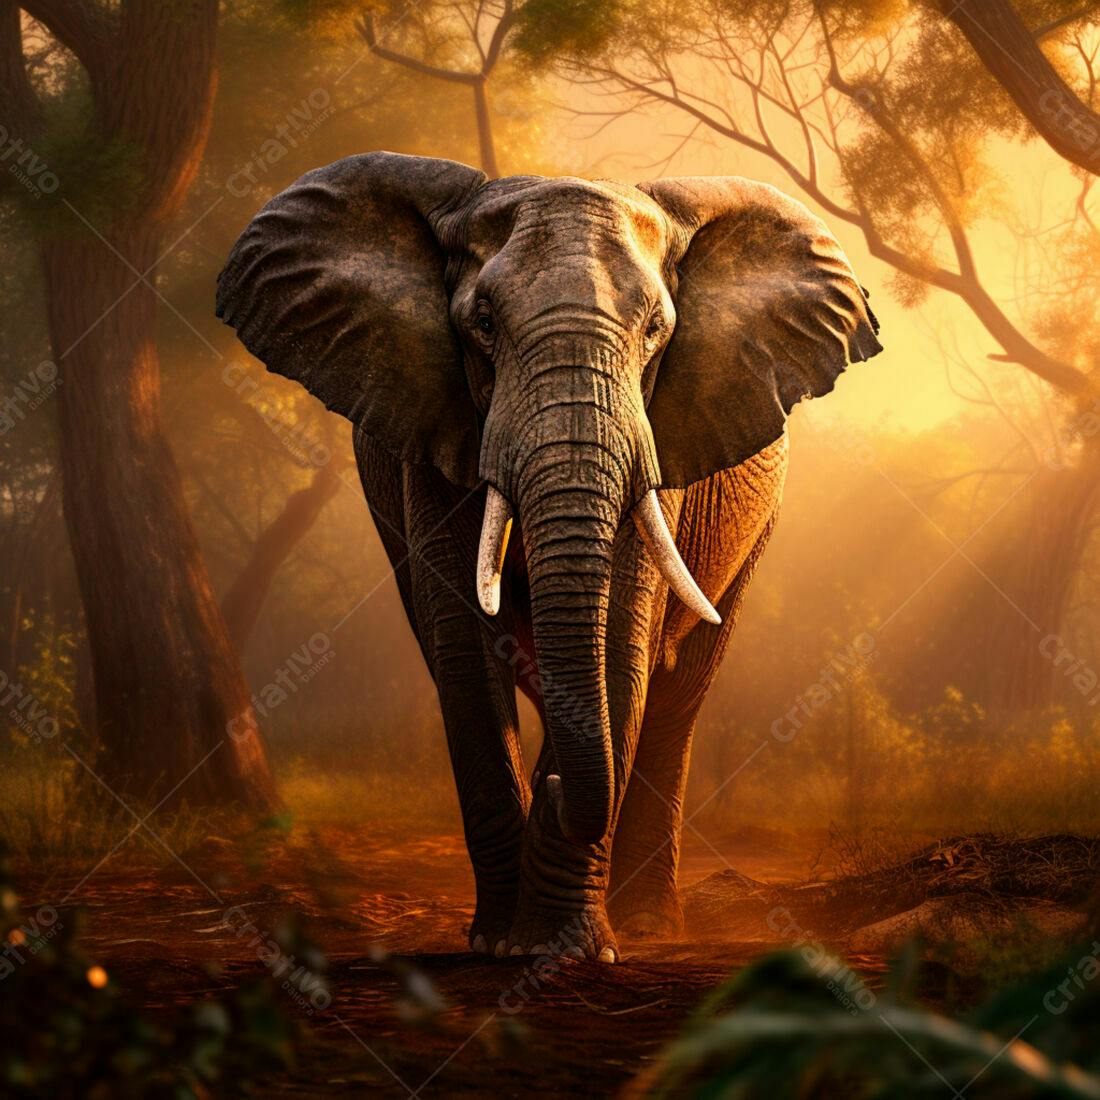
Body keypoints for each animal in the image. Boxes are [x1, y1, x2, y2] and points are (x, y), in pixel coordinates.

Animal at [216, 152, 881, 962]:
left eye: (657, 330)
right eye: (482, 324)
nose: (560, 793)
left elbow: (621, 643)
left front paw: (566, 949)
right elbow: (464, 651)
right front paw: (500, 944)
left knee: (679, 696)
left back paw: (647, 923)